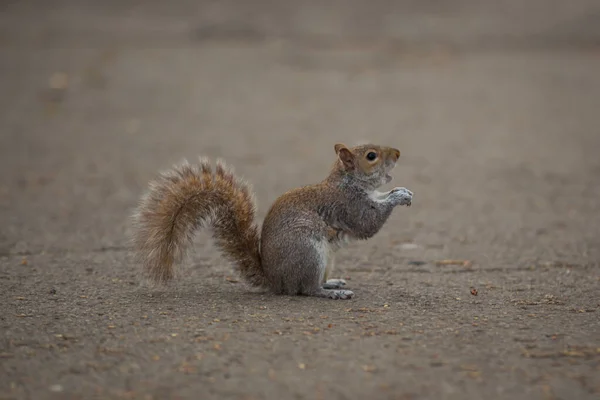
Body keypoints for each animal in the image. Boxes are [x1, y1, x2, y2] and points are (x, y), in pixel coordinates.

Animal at [131, 142, 412, 298]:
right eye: (371, 156)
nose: (399, 153)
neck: (349, 182)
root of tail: (275, 280)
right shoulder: (348, 206)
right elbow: (368, 224)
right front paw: (397, 197)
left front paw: (401, 190)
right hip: (308, 253)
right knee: (306, 289)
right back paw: (332, 293)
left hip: (325, 259)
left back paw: (332, 282)